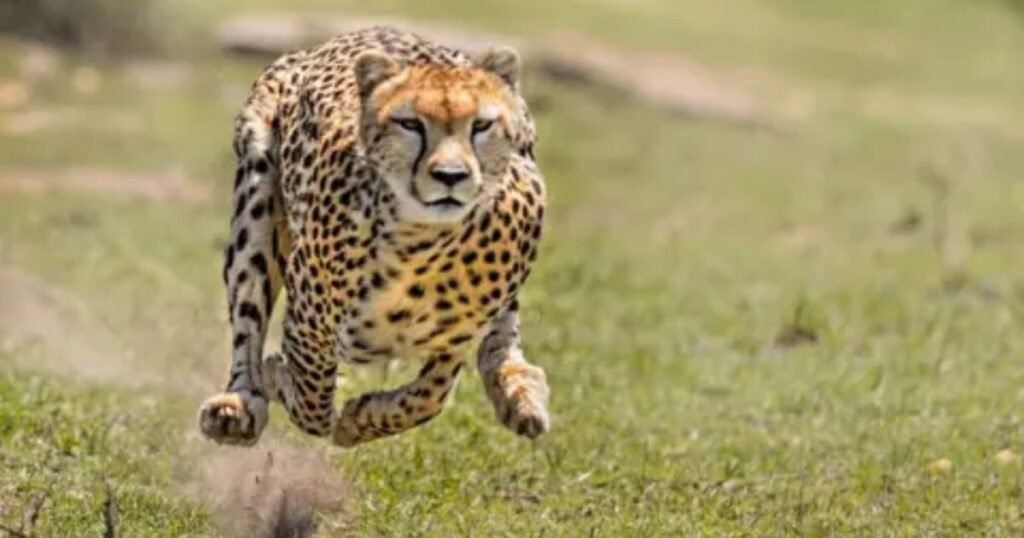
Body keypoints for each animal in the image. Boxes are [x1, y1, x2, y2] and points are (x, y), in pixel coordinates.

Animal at [197, 26, 550, 448]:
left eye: (481, 126)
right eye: (410, 124)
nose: (450, 175)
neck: (423, 246)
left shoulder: (457, 337)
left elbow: (430, 396)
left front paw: (360, 419)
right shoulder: (309, 314)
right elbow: (312, 396)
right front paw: (280, 379)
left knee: (503, 336)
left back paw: (520, 392)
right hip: (256, 198)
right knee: (248, 316)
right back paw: (238, 404)